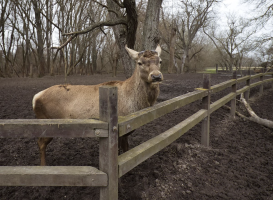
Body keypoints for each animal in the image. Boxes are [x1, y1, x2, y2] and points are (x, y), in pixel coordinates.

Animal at [33, 45, 163, 166]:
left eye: (160, 61)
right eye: (140, 62)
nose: (156, 76)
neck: (134, 106)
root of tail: (35, 97)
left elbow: (127, 150)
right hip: (48, 122)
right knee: (40, 142)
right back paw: (43, 166)